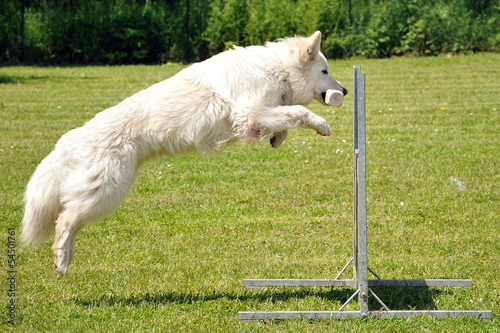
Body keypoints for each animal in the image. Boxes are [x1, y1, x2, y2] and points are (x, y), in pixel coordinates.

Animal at [20, 31, 348, 274]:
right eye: (325, 71)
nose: (344, 91)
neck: (275, 69)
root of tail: (73, 138)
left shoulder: (255, 117)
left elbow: (286, 116)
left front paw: (278, 137)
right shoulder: (249, 112)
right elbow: (298, 111)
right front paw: (322, 125)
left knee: (70, 218)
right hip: (108, 191)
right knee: (66, 219)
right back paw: (61, 258)